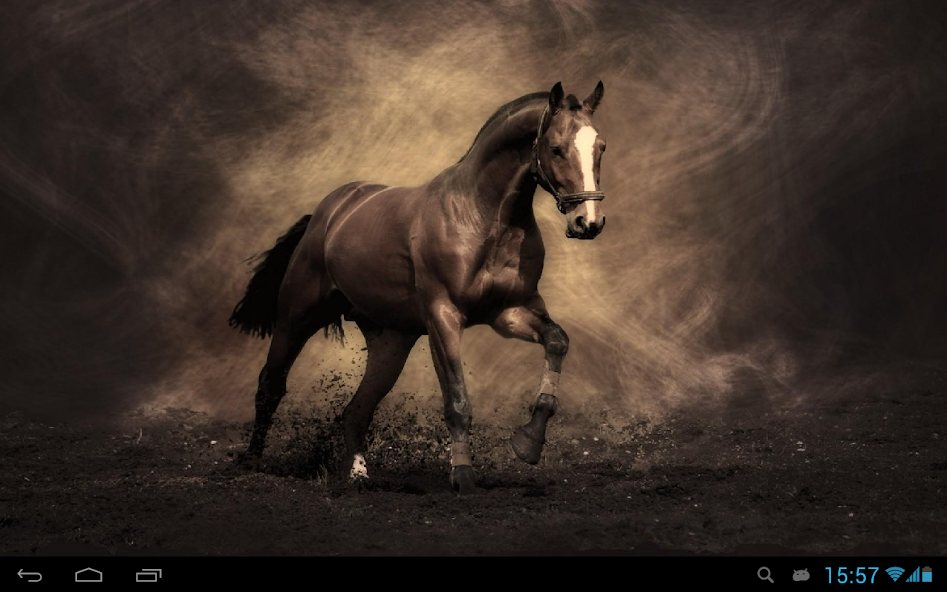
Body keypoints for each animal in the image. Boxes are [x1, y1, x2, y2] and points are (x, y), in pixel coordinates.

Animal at [229, 81, 607, 494]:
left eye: (600, 147)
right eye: (555, 148)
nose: (588, 222)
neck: (483, 217)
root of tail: (328, 214)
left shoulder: (510, 312)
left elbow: (557, 342)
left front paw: (528, 443)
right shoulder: (443, 317)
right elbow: (457, 401)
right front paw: (463, 477)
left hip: (390, 342)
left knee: (357, 410)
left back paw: (357, 475)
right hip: (297, 316)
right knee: (271, 384)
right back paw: (252, 461)